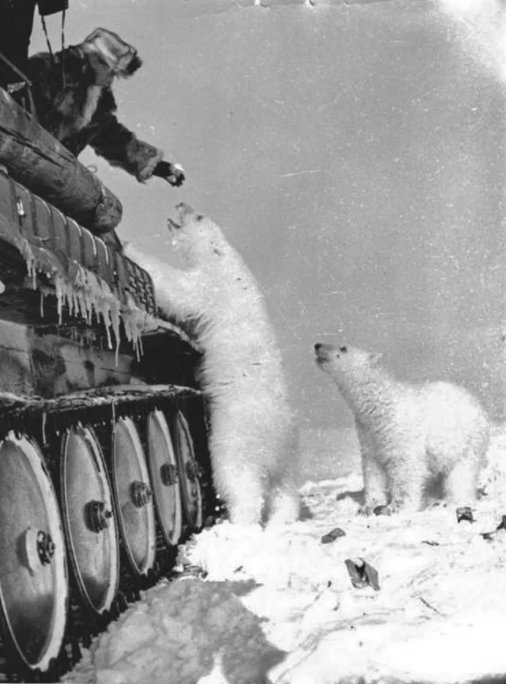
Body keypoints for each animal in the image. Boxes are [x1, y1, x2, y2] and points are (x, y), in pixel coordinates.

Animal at [125, 200, 298, 528]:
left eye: (198, 216)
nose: (180, 202)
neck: (225, 259)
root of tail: (275, 442)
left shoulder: (210, 288)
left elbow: (179, 290)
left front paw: (131, 247)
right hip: (288, 455)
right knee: (285, 490)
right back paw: (283, 519)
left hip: (237, 438)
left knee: (239, 482)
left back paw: (239, 523)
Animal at [314, 342, 488, 512]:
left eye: (343, 348)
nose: (317, 345)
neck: (381, 407)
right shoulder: (368, 433)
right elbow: (372, 469)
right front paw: (370, 505)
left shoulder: (400, 432)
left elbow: (406, 467)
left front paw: (398, 507)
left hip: (468, 441)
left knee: (461, 474)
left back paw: (450, 502)